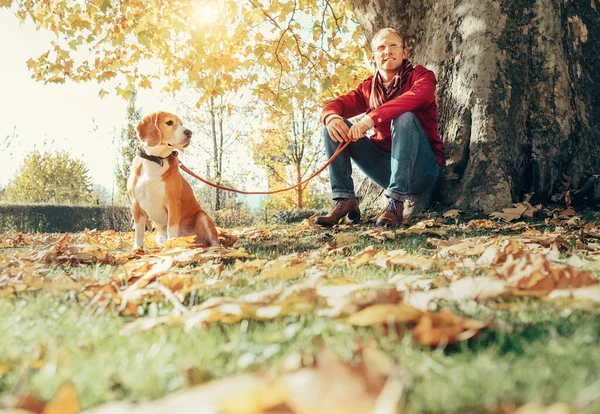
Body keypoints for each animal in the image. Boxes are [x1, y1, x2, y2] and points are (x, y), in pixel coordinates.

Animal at [127, 111, 220, 249]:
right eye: (169, 122)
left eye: (181, 123)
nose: (189, 132)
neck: (155, 160)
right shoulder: (136, 205)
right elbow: (139, 232)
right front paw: (137, 249)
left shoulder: (172, 203)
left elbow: (171, 229)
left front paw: (172, 247)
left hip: (202, 216)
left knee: (215, 241)